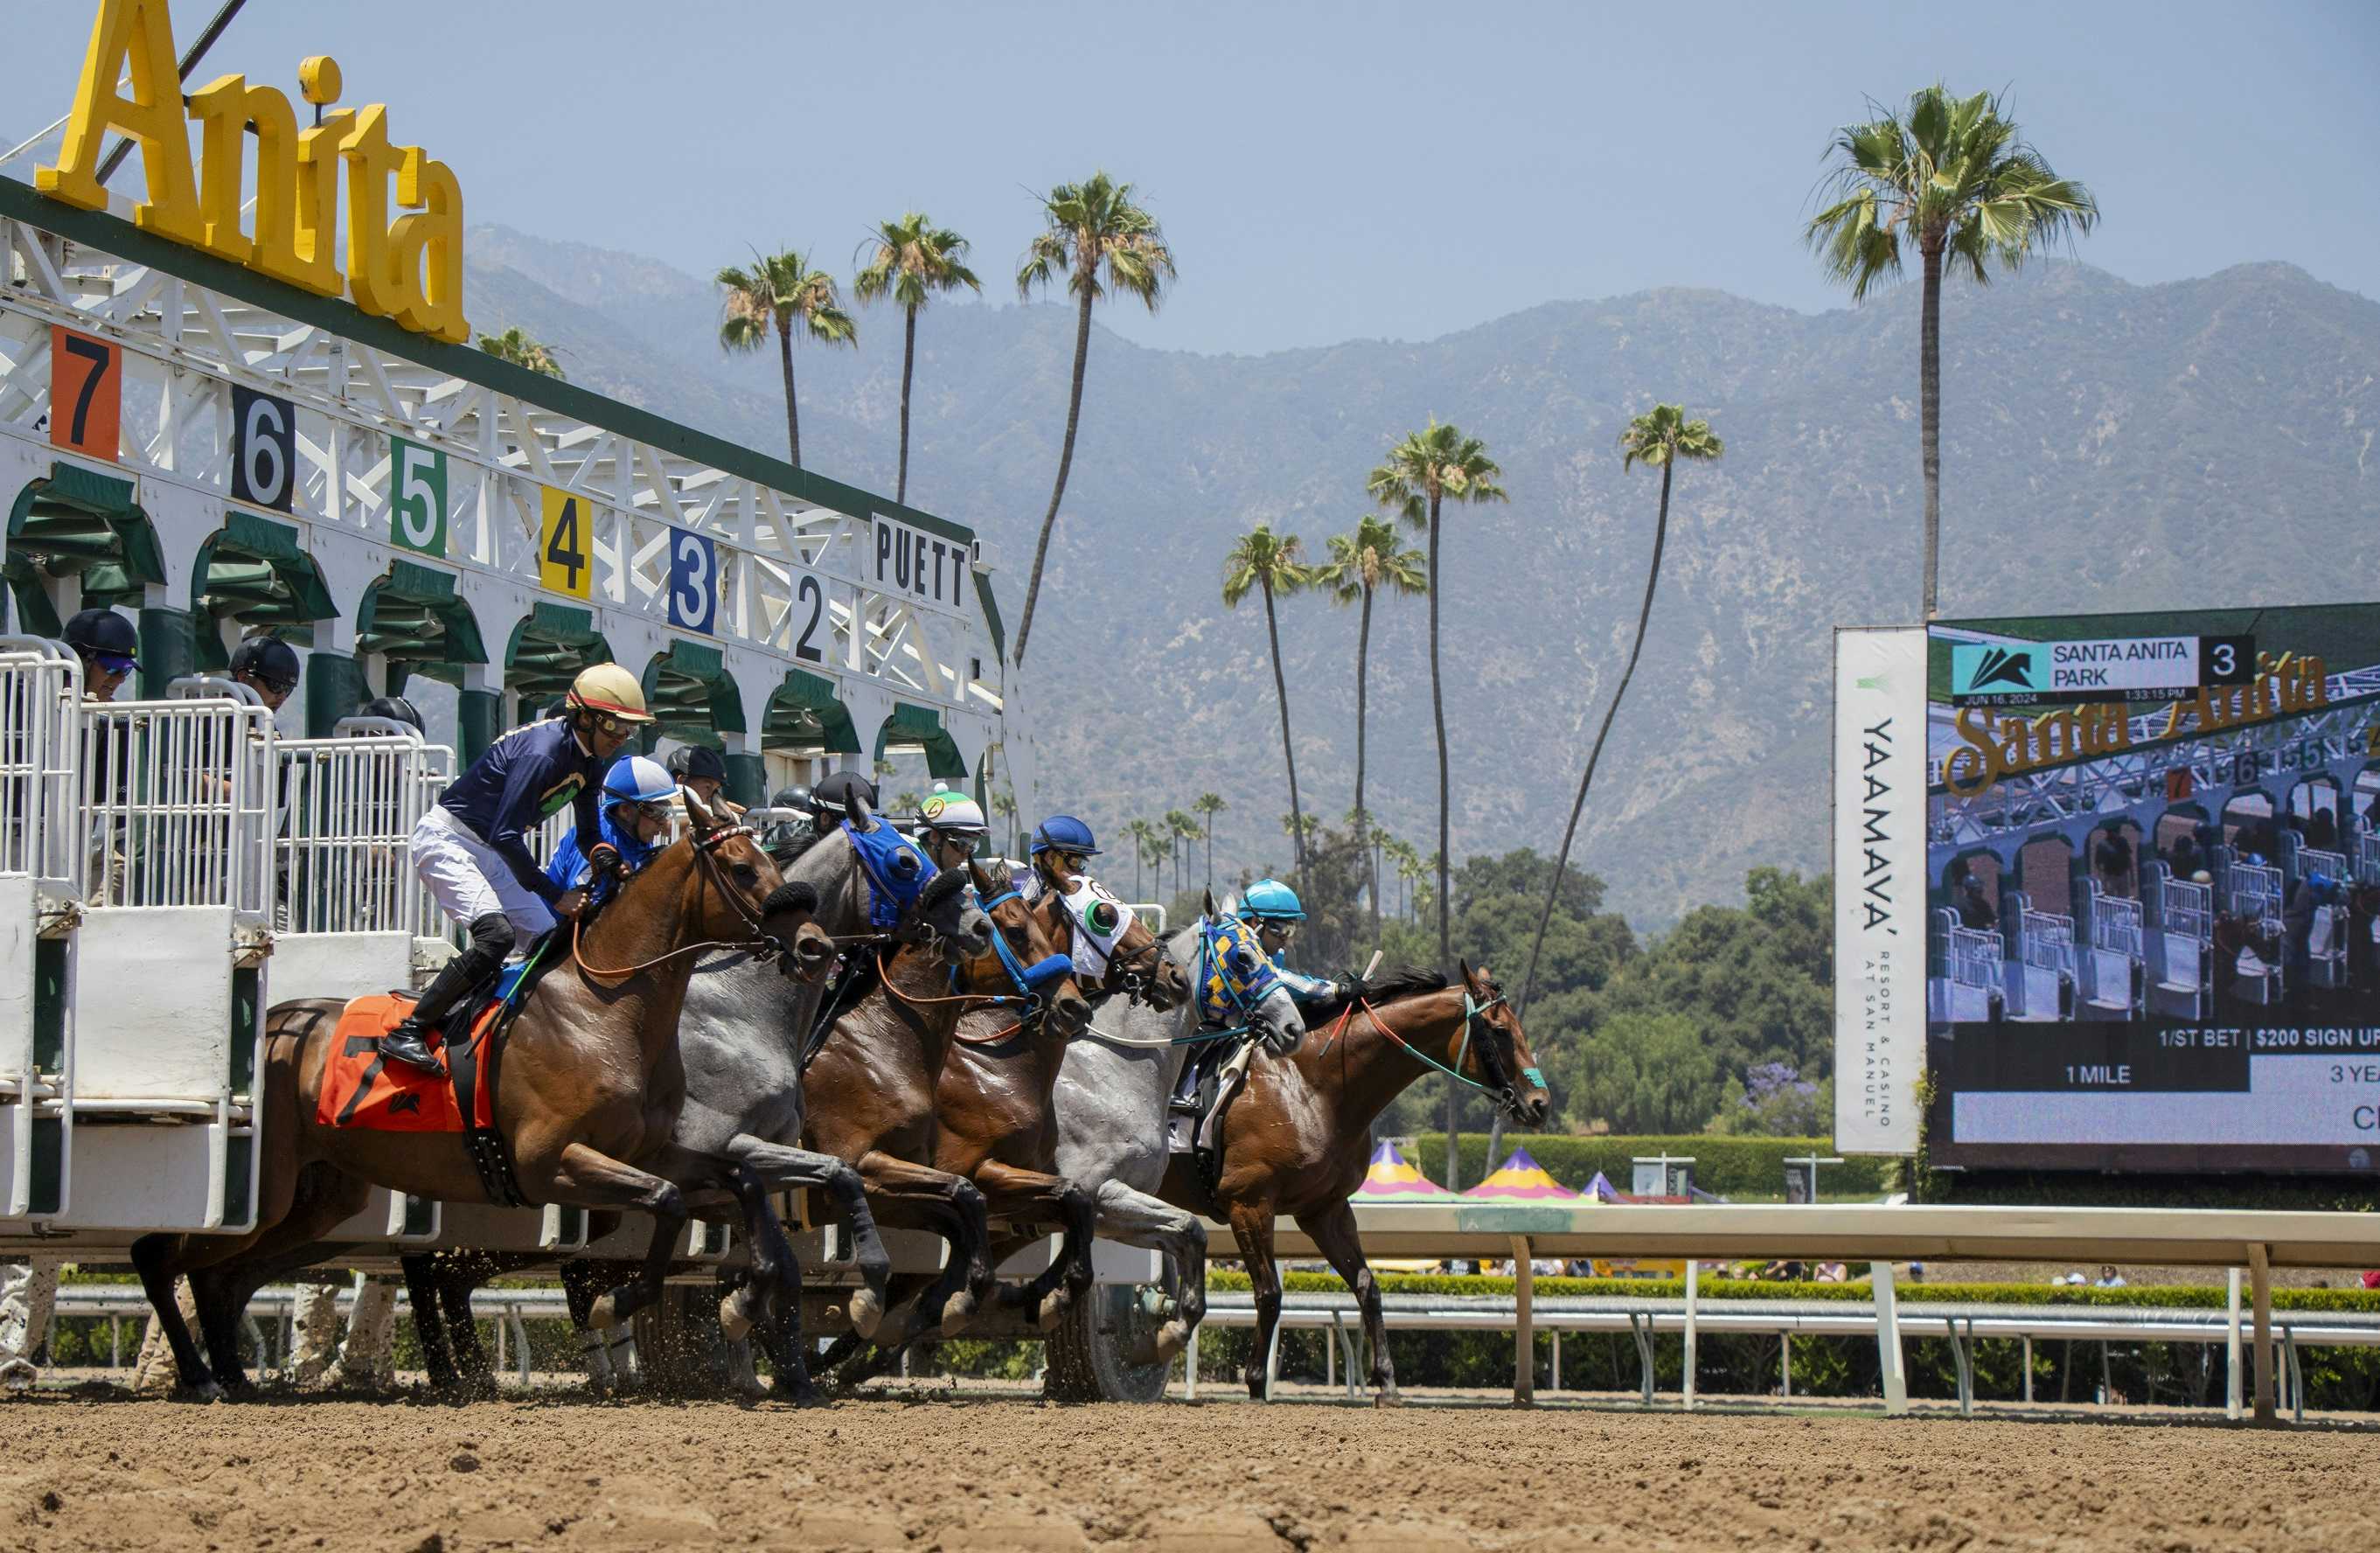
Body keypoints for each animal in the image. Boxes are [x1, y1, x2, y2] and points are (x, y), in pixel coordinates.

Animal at [132, 795, 838, 1400]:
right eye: (744, 867)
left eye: (774, 860)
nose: (815, 946)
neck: (604, 1008)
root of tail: (276, 1024)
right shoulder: (549, 1162)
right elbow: (664, 1204)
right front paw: (617, 1301)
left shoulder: (654, 1150)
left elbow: (739, 1182)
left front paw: (748, 1295)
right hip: (272, 1186)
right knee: (165, 1257)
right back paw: (201, 1376)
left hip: (318, 1200)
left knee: (222, 1276)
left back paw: (232, 1375)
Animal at [1161, 958, 1551, 1410]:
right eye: (1500, 1029)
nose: (1541, 1104)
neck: (1312, 1087)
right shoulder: (1249, 1203)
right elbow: (1269, 1293)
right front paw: (1256, 1381)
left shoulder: (1326, 1209)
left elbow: (1368, 1286)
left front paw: (1387, 1382)